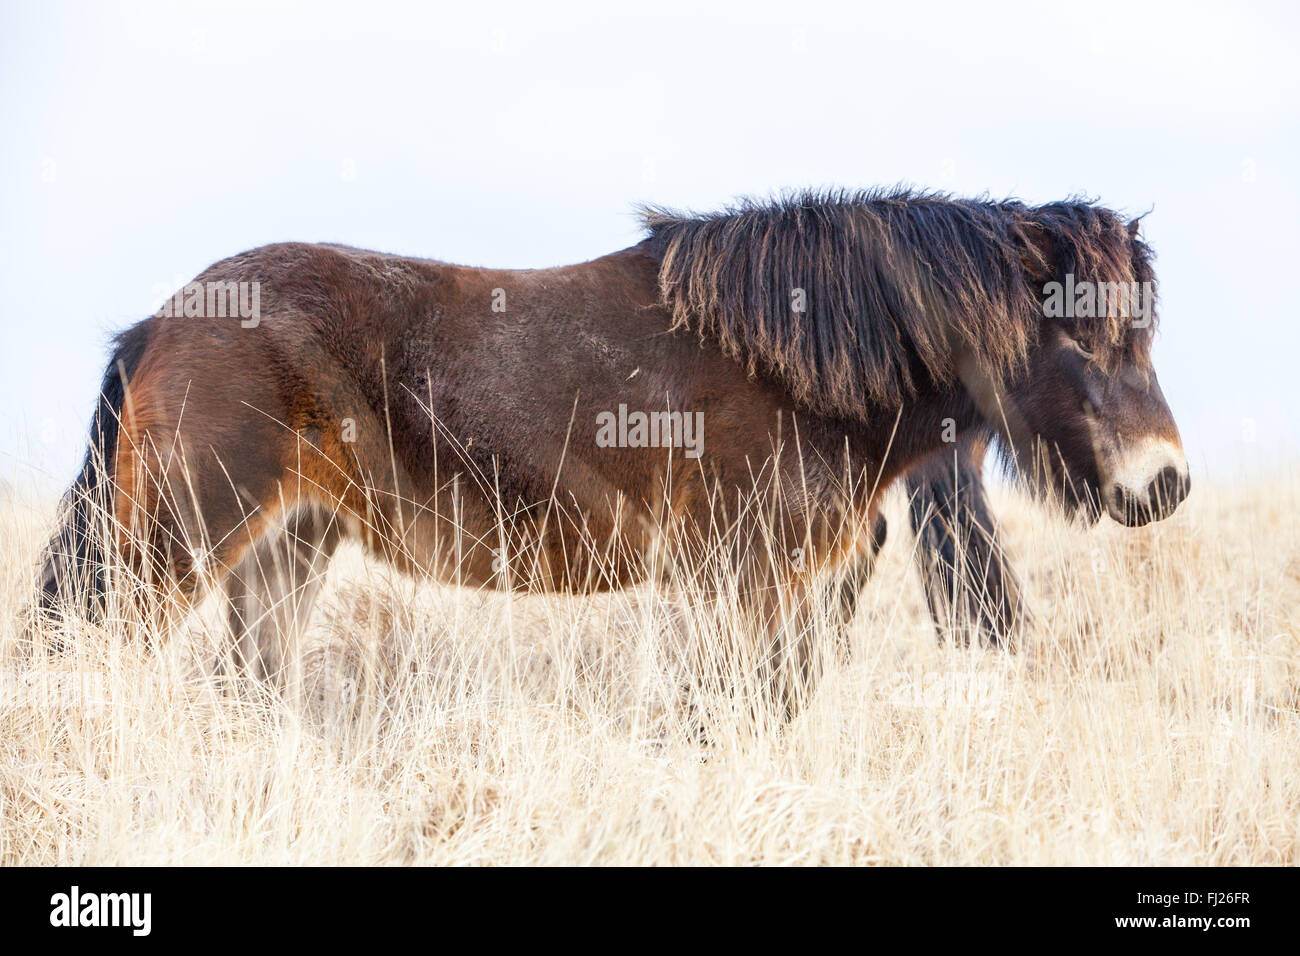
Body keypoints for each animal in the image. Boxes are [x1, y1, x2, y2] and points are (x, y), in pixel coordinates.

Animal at [32, 184, 1190, 712]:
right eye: (1075, 337)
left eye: (1142, 332)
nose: (1164, 483)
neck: (792, 362)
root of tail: (161, 322)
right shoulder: (737, 582)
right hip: (175, 547)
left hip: (288, 549)